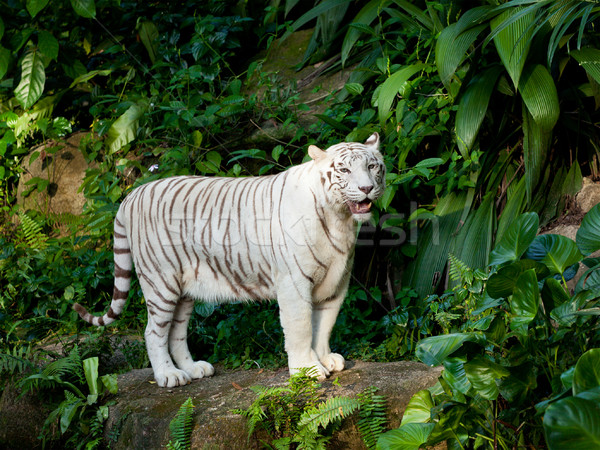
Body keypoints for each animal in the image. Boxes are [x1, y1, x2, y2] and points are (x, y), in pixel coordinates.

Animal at [74, 133, 384, 386]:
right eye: (344, 170)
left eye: (372, 167)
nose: (366, 188)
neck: (340, 219)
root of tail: (132, 195)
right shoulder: (294, 284)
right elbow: (301, 328)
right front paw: (308, 370)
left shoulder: (335, 284)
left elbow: (324, 327)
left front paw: (326, 359)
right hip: (160, 281)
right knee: (153, 332)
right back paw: (168, 376)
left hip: (184, 290)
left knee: (176, 332)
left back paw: (193, 369)